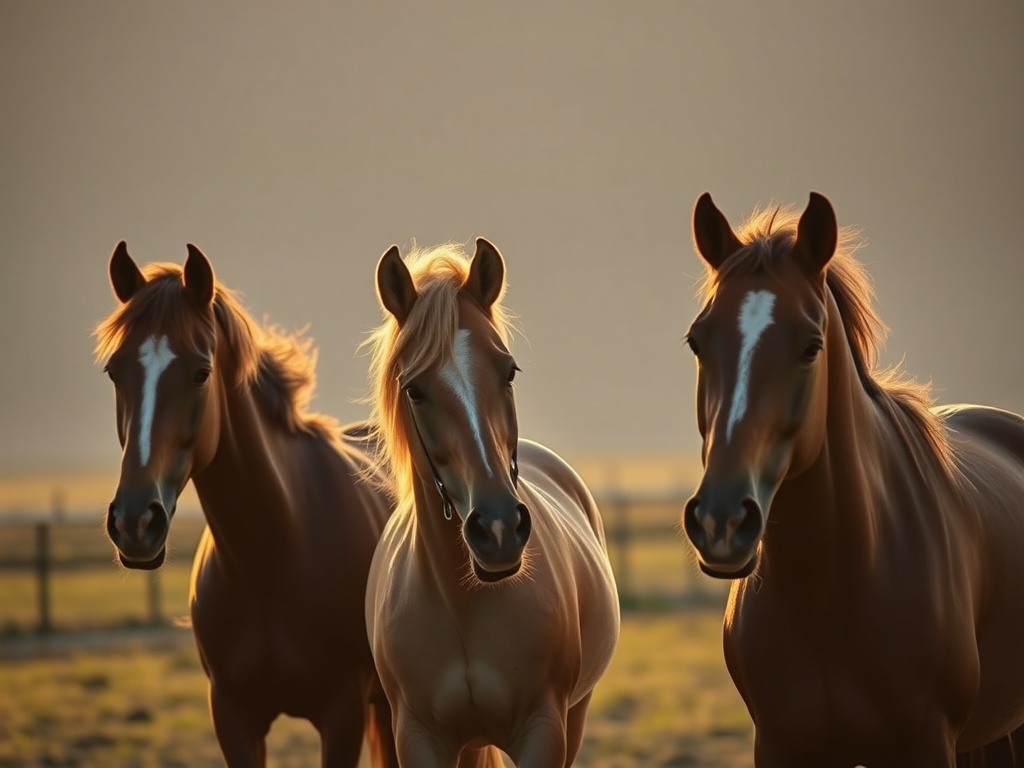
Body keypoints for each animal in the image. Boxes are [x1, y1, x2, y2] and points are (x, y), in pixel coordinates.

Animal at [94, 242, 399, 768]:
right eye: (116, 371)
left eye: (201, 373)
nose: (135, 522)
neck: (272, 556)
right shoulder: (233, 717)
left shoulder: (343, 715)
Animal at [360, 238, 620, 767]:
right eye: (414, 389)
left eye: (509, 371)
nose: (498, 529)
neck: (463, 607)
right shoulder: (419, 738)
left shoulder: (544, 730)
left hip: (575, 715)